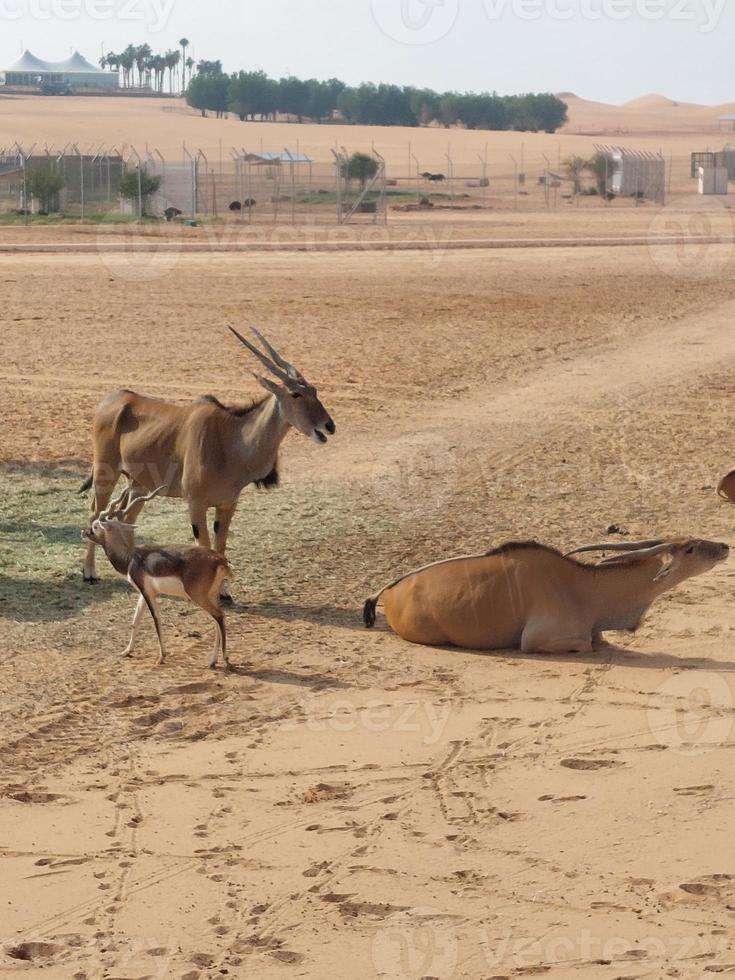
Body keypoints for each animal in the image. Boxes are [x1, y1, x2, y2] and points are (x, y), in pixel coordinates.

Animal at [81, 328, 336, 596]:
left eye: (315, 391)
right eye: (296, 394)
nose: (329, 426)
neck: (230, 437)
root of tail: (113, 399)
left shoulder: (227, 505)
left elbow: (219, 546)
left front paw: (223, 591)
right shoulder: (196, 503)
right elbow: (204, 545)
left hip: (139, 486)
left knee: (126, 520)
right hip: (106, 475)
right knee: (94, 514)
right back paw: (89, 572)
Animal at [81, 482, 231, 668]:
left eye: (96, 526)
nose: (84, 532)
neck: (130, 558)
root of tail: (219, 560)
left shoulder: (147, 592)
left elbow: (156, 619)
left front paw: (161, 656)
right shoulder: (145, 592)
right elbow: (136, 620)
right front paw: (126, 651)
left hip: (198, 596)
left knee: (219, 617)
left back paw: (223, 659)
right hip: (212, 595)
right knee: (218, 619)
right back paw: (213, 660)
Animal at [360, 540, 724, 656]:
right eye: (690, 548)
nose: (724, 546)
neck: (584, 589)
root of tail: (390, 592)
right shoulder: (536, 641)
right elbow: (587, 645)